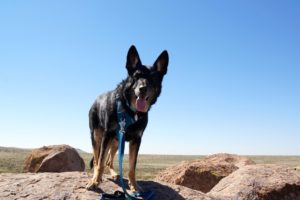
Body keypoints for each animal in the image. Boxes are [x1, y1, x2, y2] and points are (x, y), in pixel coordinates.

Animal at [86, 45, 169, 192]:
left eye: (153, 78)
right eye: (136, 76)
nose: (143, 89)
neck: (130, 111)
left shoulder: (136, 139)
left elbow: (132, 167)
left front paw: (134, 186)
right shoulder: (107, 135)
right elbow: (100, 162)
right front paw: (95, 182)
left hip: (116, 141)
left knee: (109, 160)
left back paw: (114, 174)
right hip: (97, 136)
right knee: (97, 159)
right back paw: (97, 176)